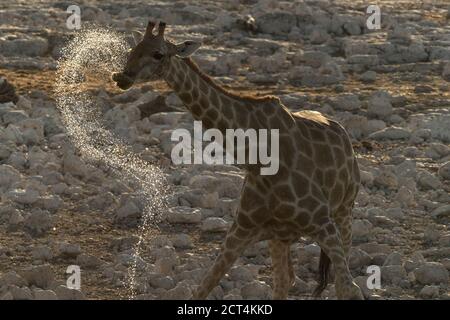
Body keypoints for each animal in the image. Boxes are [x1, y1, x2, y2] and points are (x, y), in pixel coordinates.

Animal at [111, 21, 362, 300]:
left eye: (158, 54)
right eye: (133, 49)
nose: (122, 77)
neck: (257, 160)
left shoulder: (323, 224)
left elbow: (349, 288)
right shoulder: (241, 230)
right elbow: (203, 287)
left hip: (344, 212)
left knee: (337, 279)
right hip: (282, 236)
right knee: (285, 281)